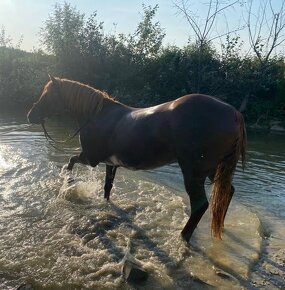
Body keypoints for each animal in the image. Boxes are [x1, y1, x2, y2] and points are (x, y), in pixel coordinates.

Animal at [28, 75, 246, 242]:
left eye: (47, 95)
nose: (30, 115)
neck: (98, 115)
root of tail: (233, 113)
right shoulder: (110, 163)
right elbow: (107, 188)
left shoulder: (91, 158)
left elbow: (71, 162)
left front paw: (69, 184)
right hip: (215, 170)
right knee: (227, 192)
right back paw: (221, 226)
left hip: (194, 171)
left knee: (200, 205)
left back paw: (183, 237)